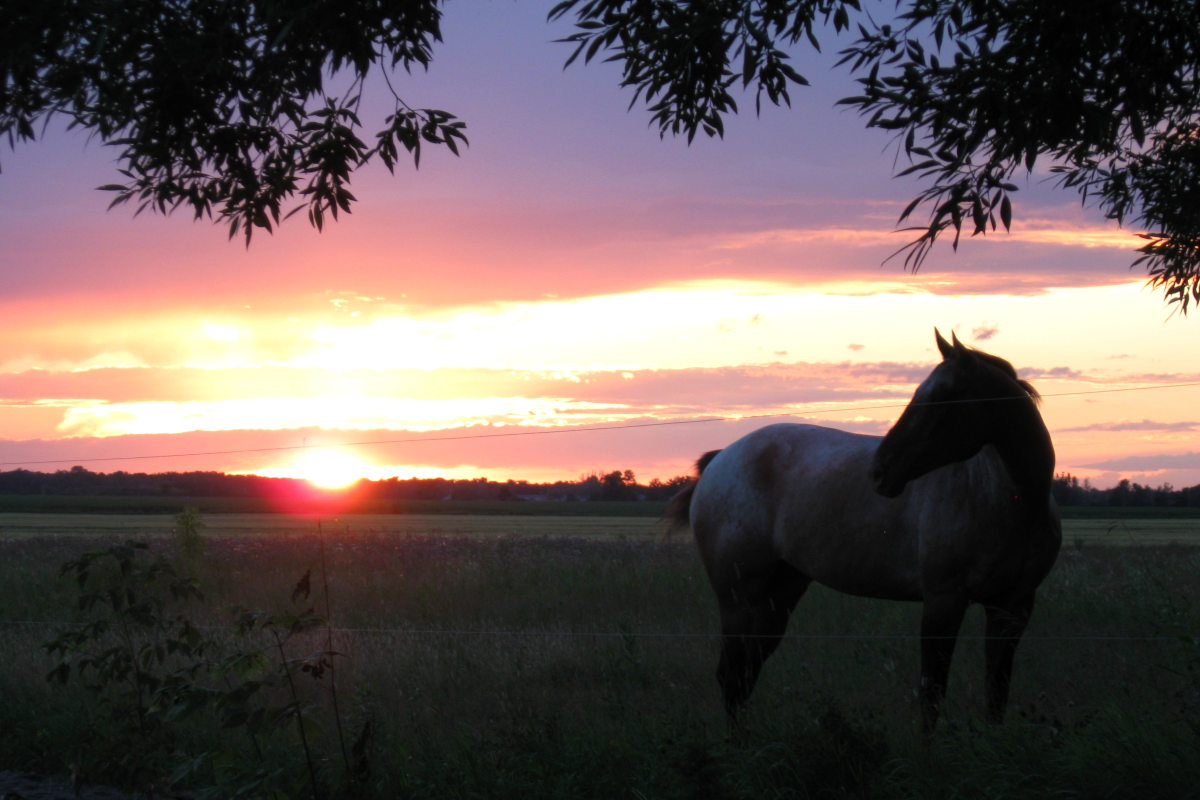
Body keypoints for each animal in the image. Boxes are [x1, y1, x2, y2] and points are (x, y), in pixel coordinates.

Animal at [667, 329, 1061, 729]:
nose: (880, 470)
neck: (1008, 499)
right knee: (731, 675)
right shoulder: (943, 602)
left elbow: (996, 694)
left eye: (940, 396)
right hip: (737, 598)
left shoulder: (1011, 609)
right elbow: (932, 693)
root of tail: (721, 458)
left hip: (778, 594)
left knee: (746, 672)